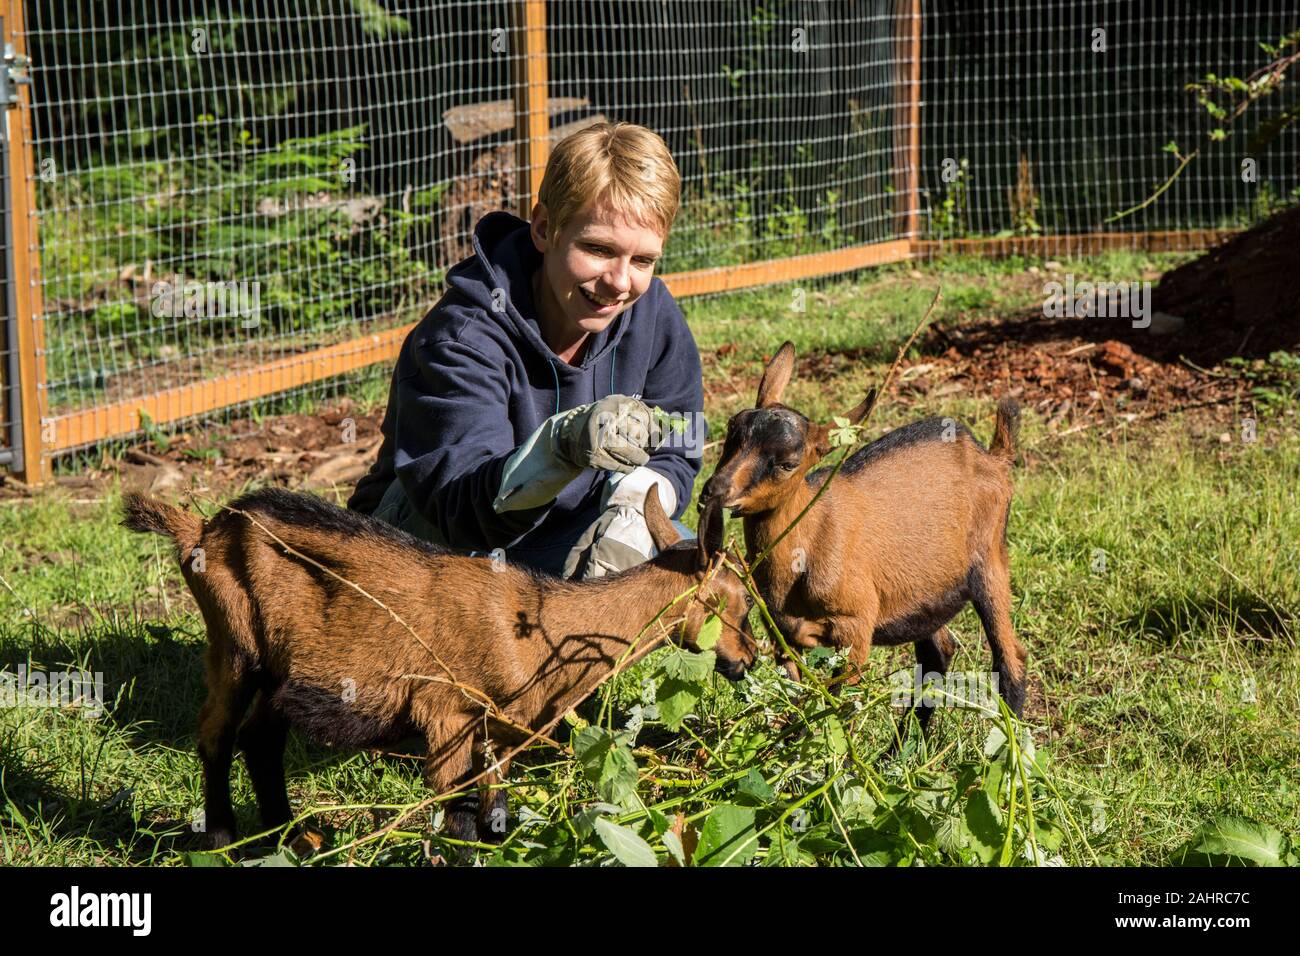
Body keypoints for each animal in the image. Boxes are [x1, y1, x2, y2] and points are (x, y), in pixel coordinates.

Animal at [122, 487, 755, 850]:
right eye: (738, 601)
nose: (749, 660)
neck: (537, 628)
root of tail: (199, 529)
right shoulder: (447, 716)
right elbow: (460, 817)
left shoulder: (497, 735)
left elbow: (493, 813)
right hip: (234, 645)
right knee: (216, 733)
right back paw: (221, 839)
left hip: (286, 674)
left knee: (260, 738)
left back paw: (292, 839)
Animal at [701, 341, 1026, 732]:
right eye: (731, 433)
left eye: (787, 463)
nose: (715, 490)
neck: (808, 544)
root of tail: (993, 457)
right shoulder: (781, 632)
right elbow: (798, 700)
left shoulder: (855, 628)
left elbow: (836, 706)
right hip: (925, 593)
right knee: (937, 654)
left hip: (989, 560)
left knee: (1010, 659)